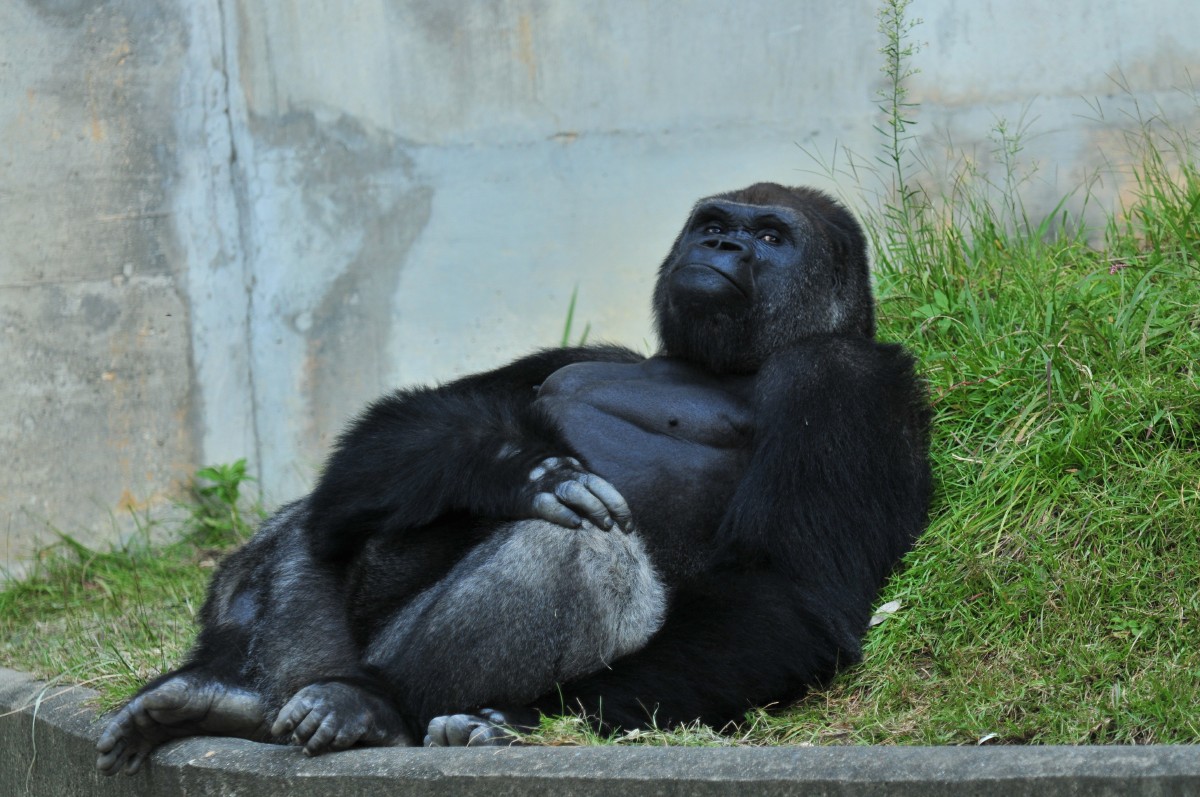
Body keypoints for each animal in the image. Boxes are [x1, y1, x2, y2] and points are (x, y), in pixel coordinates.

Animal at [98, 183, 931, 772]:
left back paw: (374, 708)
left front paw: (531, 720)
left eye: (769, 236)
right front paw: (515, 470)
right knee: (330, 515)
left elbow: (786, 590)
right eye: (712, 223)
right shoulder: (588, 351)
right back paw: (232, 689)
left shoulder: (847, 377)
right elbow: (412, 422)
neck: (722, 365)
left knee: (580, 552)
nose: (721, 242)